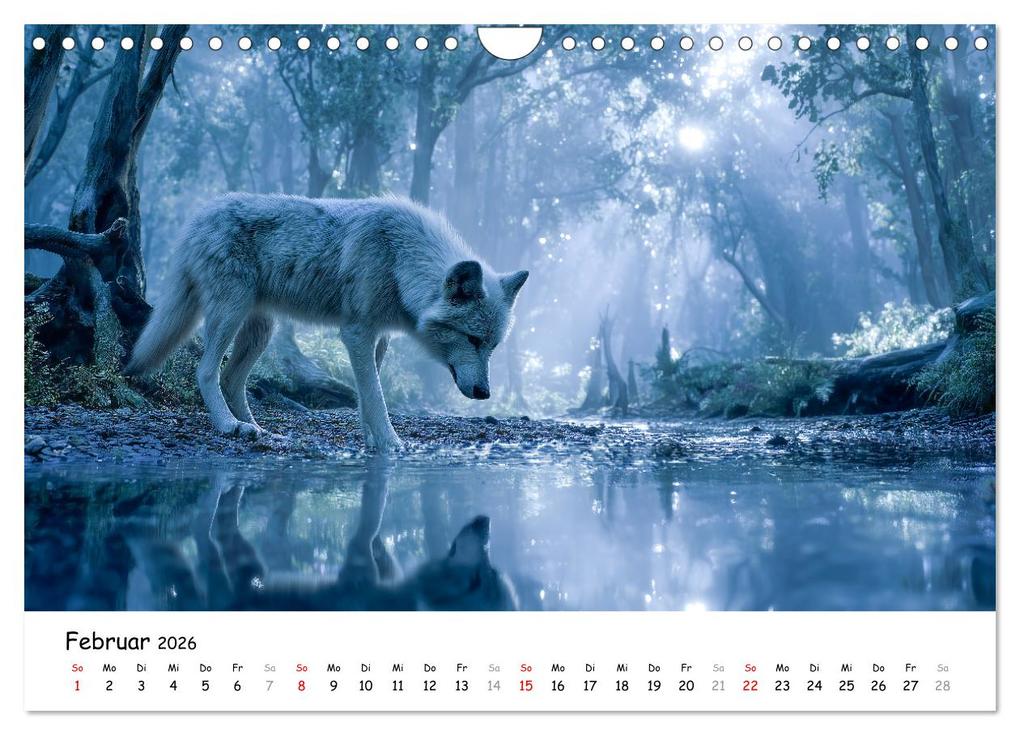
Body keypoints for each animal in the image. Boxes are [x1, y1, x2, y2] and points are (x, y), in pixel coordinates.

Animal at [126, 193, 529, 450]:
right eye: (473, 339)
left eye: (492, 346)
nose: (485, 393)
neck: (400, 260)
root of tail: (196, 218)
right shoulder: (356, 333)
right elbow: (376, 395)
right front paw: (392, 444)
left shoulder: (377, 338)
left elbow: (367, 393)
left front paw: (372, 440)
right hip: (230, 315)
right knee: (206, 372)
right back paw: (228, 426)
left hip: (261, 331)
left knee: (231, 379)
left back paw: (259, 430)